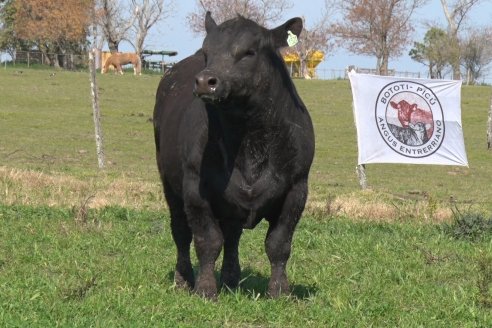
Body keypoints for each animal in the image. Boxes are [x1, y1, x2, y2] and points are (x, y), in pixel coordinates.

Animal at [154, 12, 316, 300]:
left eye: (249, 52)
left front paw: (280, 292)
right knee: (181, 232)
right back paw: (183, 279)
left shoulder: (297, 188)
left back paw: (231, 279)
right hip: (169, 183)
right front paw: (206, 289)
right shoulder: (195, 189)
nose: (205, 81)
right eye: (207, 52)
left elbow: (279, 243)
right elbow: (207, 240)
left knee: (232, 235)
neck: (250, 140)